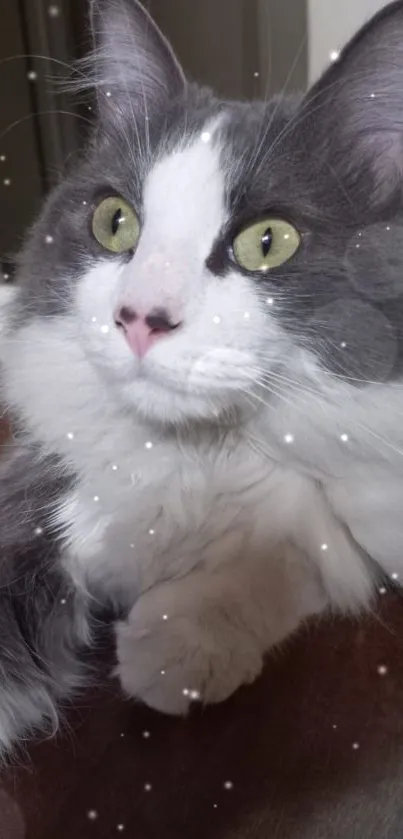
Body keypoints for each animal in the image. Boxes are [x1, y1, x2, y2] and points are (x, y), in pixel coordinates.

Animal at [0, 0, 403, 756]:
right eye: (114, 222)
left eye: (268, 242)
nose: (139, 319)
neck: (195, 452)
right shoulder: (41, 484)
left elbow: (286, 553)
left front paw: (178, 648)